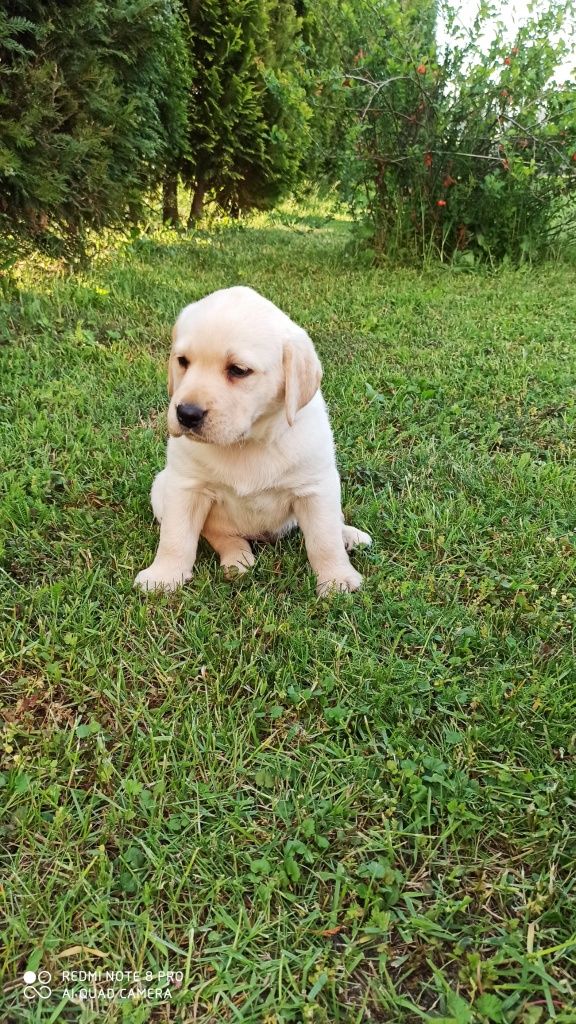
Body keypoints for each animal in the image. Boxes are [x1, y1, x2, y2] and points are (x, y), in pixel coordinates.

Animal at [134, 286, 366, 593]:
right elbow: (176, 538)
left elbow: (324, 540)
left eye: (238, 370)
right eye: (182, 361)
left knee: (334, 523)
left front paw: (337, 578)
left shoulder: (316, 488)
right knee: (217, 534)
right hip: (161, 486)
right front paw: (163, 576)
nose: (186, 414)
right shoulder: (185, 486)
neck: (247, 441)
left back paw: (349, 536)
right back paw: (237, 560)